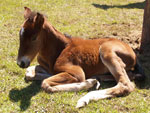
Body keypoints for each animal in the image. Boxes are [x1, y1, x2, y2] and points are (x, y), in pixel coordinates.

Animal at [17, 7, 145, 107]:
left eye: (34, 37)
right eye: (20, 35)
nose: (20, 63)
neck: (59, 49)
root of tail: (132, 51)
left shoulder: (77, 73)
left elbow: (45, 84)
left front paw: (88, 83)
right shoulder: (48, 68)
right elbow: (29, 73)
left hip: (106, 50)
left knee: (125, 85)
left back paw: (85, 97)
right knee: (129, 75)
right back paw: (97, 78)